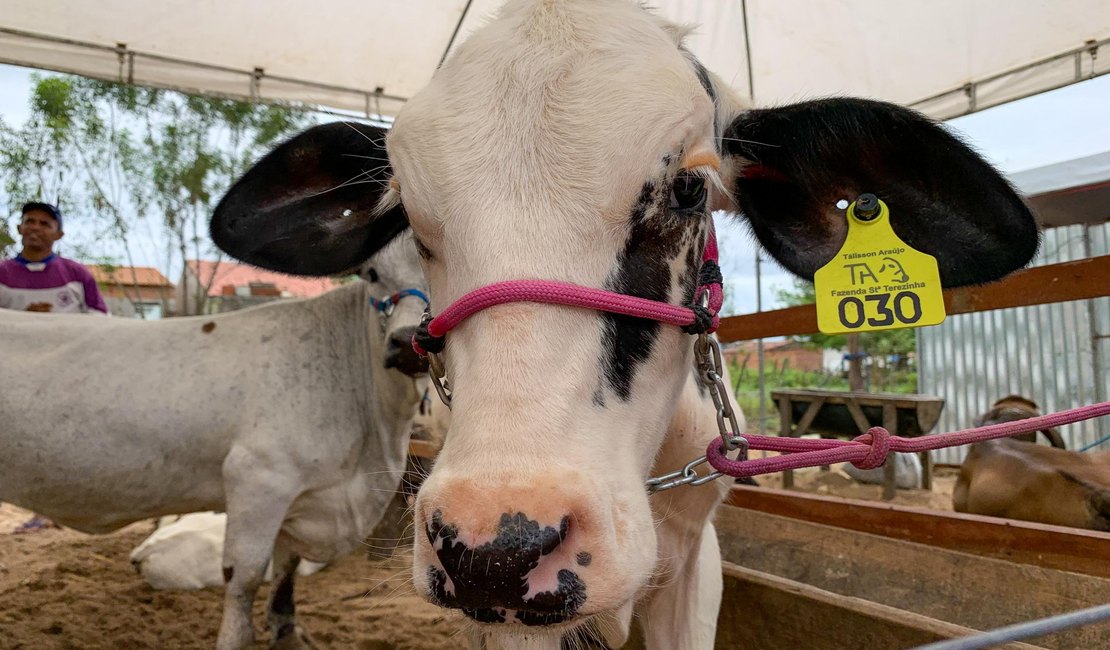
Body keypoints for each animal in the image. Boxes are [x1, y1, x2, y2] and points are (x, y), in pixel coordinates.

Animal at [0, 239, 428, 647]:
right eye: (372, 273)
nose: (408, 342)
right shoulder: (258, 480)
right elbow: (244, 585)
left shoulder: (301, 503)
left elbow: (284, 580)